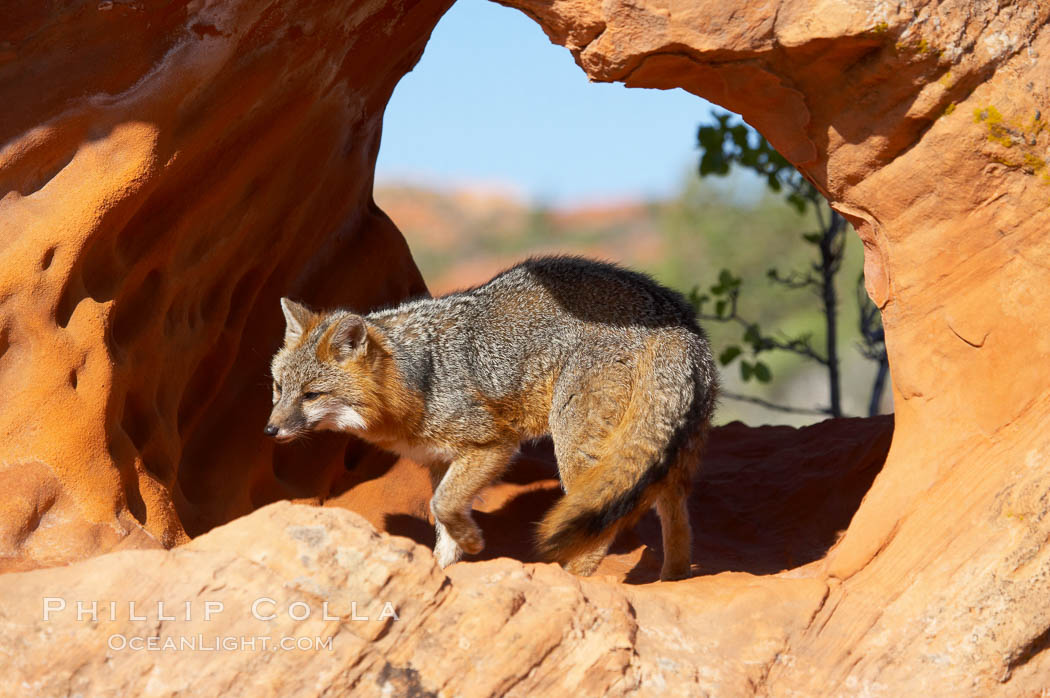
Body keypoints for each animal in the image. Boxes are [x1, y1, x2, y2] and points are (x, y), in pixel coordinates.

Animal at [266, 255, 718, 575]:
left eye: (312, 395)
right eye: (278, 387)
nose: (270, 429)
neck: (418, 375)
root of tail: (677, 321)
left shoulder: (493, 445)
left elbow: (444, 505)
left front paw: (472, 544)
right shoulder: (441, 459)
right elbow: (441, 517)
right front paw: (442, 571)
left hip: (575, 448)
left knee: (605, 522)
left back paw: (574, 577)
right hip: (664, 453)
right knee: (673, 514)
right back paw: (671, 580)